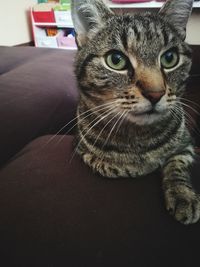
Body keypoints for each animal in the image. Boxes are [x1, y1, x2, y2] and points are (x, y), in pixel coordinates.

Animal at [70, 0, 200, 226]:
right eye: (116, 60)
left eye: (170, 58)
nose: (155, 94)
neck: (139, 136)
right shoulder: (80, 148)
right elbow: (110, 165)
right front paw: (139, 164)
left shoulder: (187, 144)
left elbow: (176, 165)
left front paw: (183, 196)